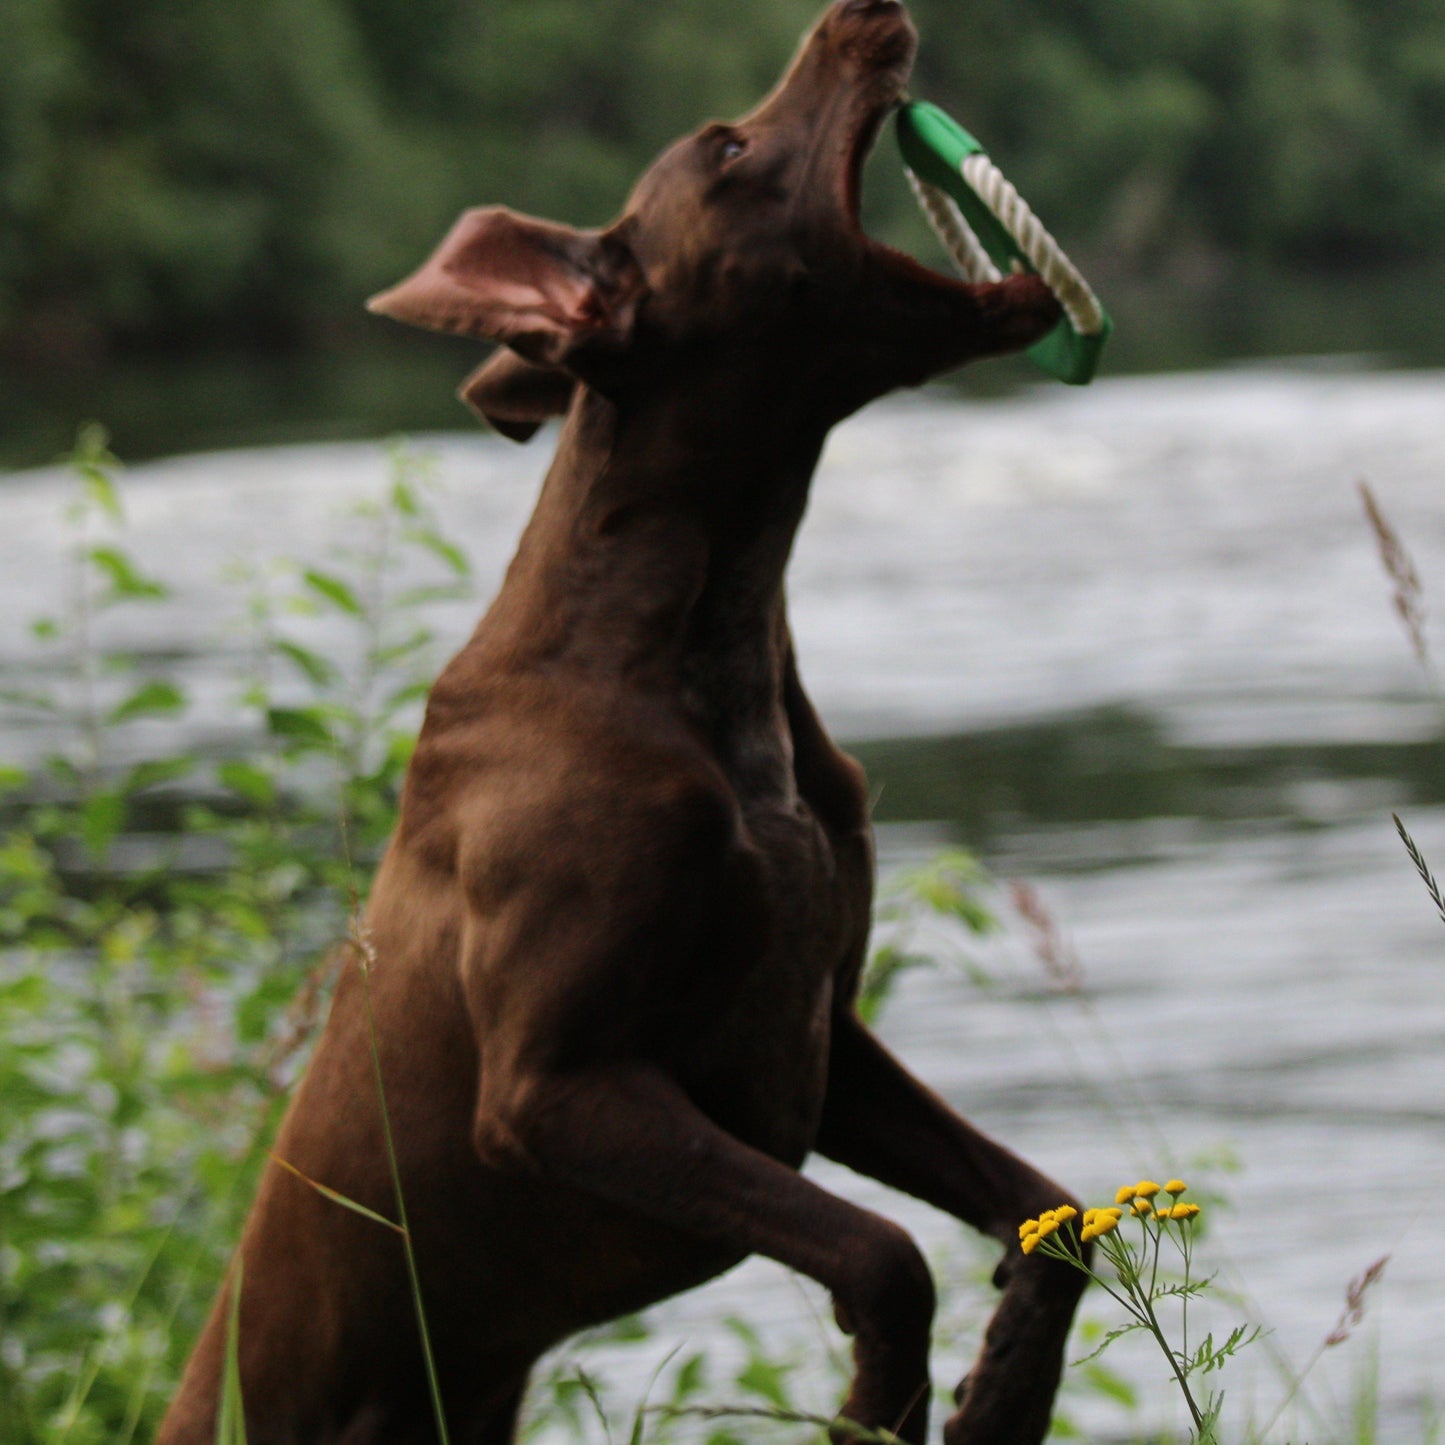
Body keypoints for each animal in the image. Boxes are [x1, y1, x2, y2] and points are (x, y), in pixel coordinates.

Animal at [161, 2, 1086, 1445]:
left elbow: (1052, 1214)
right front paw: (880, 1402)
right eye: (729, 147)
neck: (705, 631)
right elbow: (885, 1255)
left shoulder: (825, 1035)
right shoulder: (558, 1089)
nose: (861, 10)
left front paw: (1001, 1395)